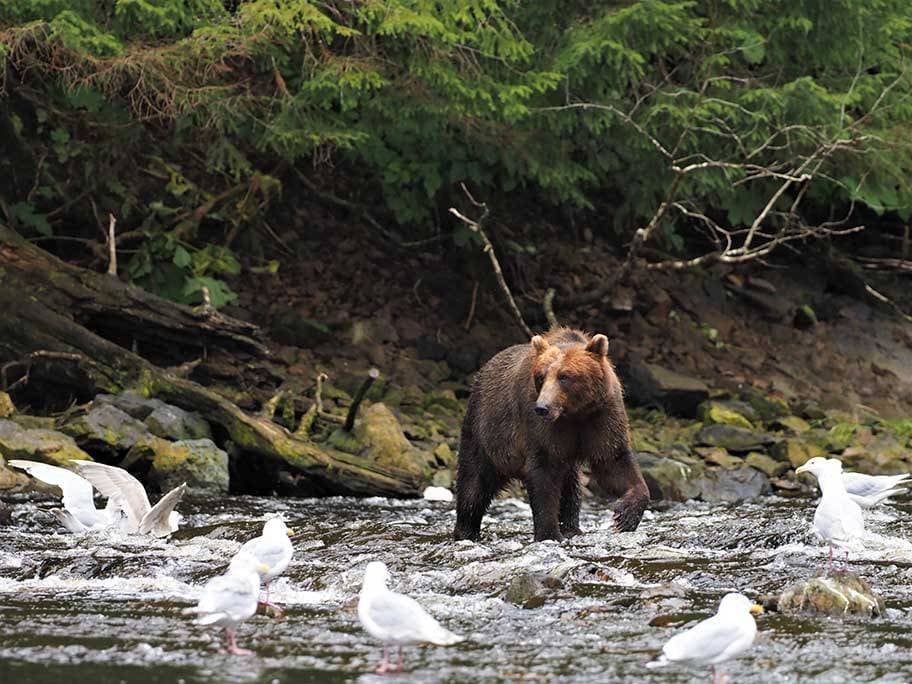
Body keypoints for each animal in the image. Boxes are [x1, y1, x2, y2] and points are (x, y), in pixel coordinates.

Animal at [453, 327, 649, 542]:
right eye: (541, 376)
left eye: (564, 376)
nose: (542, 407)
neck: (574, 413)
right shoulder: (542, 428)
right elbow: (544, 473)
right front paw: (549, 533)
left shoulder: (602, 415)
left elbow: (614, 461)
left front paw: (625, 516)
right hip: (486, 433)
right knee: (473, 484)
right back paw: (465, 531)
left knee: (570, 487)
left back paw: (572, 528)